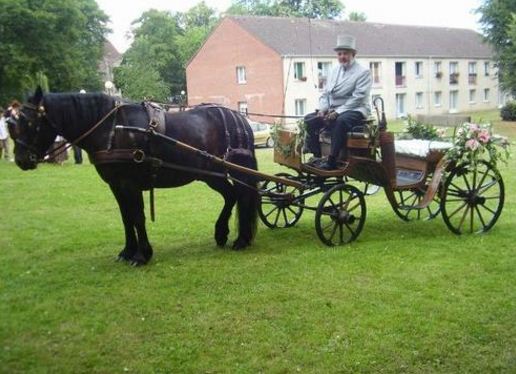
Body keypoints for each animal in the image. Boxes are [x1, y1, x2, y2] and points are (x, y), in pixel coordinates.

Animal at [8, 87, 258, 266]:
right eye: (15, 121)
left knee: (242, 195)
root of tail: (239, 117)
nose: (21, 159)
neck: (111, 129)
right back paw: (222, 233)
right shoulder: (116, 185)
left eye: (29, 122)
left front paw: (142, 255)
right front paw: (128, 251)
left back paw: (241, 238)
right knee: (231, 196)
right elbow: (126, 217)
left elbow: (137, 216)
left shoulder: (130, 184)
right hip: (209, 174)